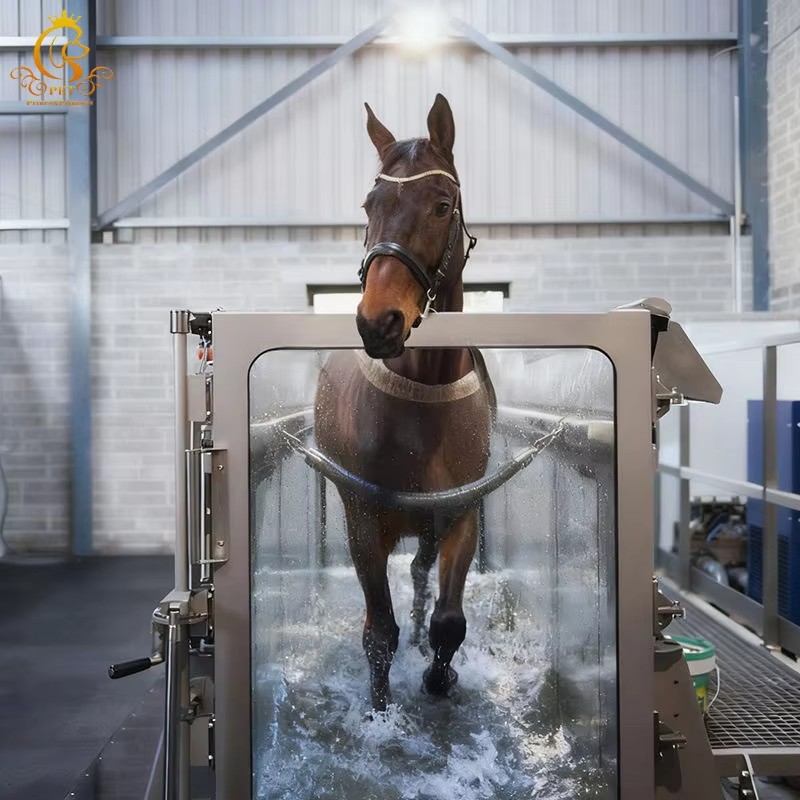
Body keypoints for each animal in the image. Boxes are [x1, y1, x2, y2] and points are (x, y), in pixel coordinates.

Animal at [314, 94, 495, 711]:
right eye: (369, 205)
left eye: (441, 205)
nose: (379, 321)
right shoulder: (363, 523)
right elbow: (378, 632)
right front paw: (379, 709)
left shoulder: (461, 514)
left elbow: (449, 621)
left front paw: (440, 678)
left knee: (419, 574)